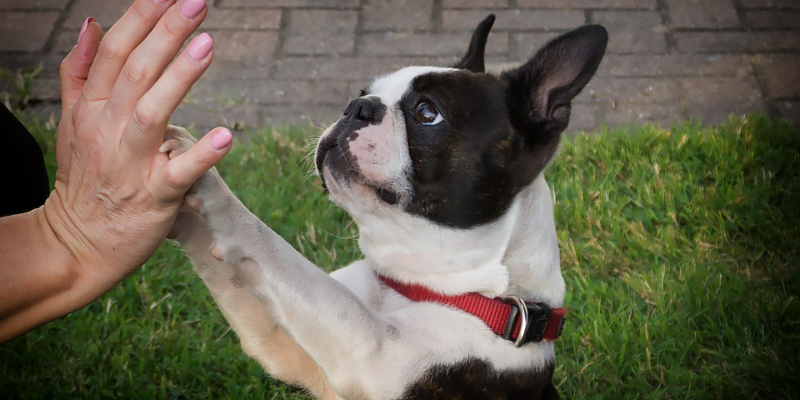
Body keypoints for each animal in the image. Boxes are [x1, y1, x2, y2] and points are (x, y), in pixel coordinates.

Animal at [164, 15, 608, 400]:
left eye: (427, 112)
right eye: (363, 93)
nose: (357, 107)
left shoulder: (371, 352)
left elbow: (274, 248)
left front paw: (210, 186)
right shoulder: (280, 346)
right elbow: (230, 274)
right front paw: (174, 186)